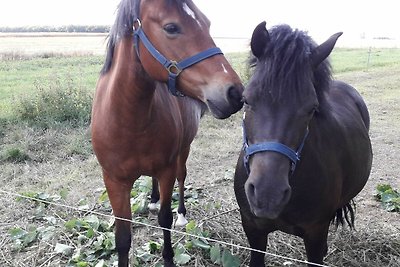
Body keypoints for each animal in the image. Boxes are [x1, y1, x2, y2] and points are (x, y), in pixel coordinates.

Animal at [90, 1, 244, 266]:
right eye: (171, 27)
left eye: (207, 23)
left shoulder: (166, 170)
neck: (128, 121)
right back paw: (151, 201)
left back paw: (181, 214)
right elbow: (122, 237)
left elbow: (165, 219)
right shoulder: (114, 181)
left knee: (182, 177)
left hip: (184, 150)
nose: (234, 93)